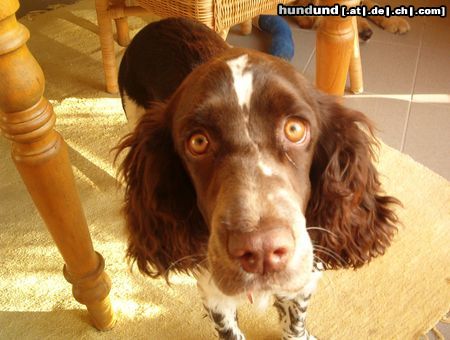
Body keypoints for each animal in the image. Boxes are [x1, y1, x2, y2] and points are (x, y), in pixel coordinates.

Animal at [116, 17, 400, 340]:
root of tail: (157, 24)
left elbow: (294, 322)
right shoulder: (215, 293)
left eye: (294, 129)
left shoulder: (302, 280)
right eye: (198, 142)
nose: (261, 250)